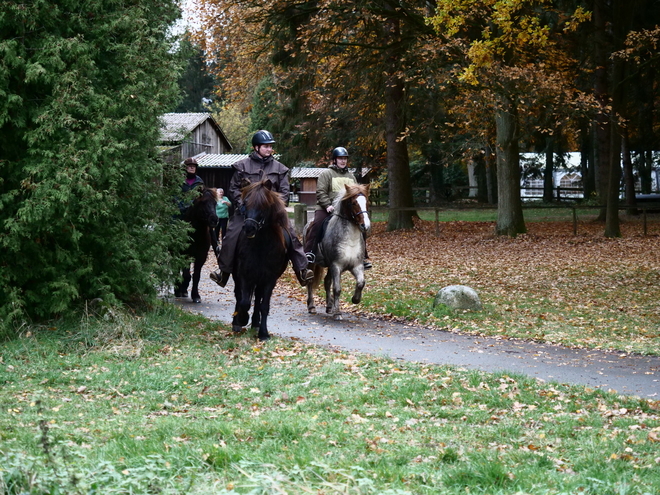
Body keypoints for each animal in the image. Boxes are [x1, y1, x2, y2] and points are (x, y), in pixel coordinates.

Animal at [231, 178, 288, 340]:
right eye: (245, 203)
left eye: (264, 205)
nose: (249, 228)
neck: (261, 246)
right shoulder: (244, 274)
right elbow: (244, 301)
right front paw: (242, 319)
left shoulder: (270, 278)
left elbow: (264, 305)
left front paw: (263, 333)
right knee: (239, 295)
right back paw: (237, 322)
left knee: (257, 298)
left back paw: (256, 323)